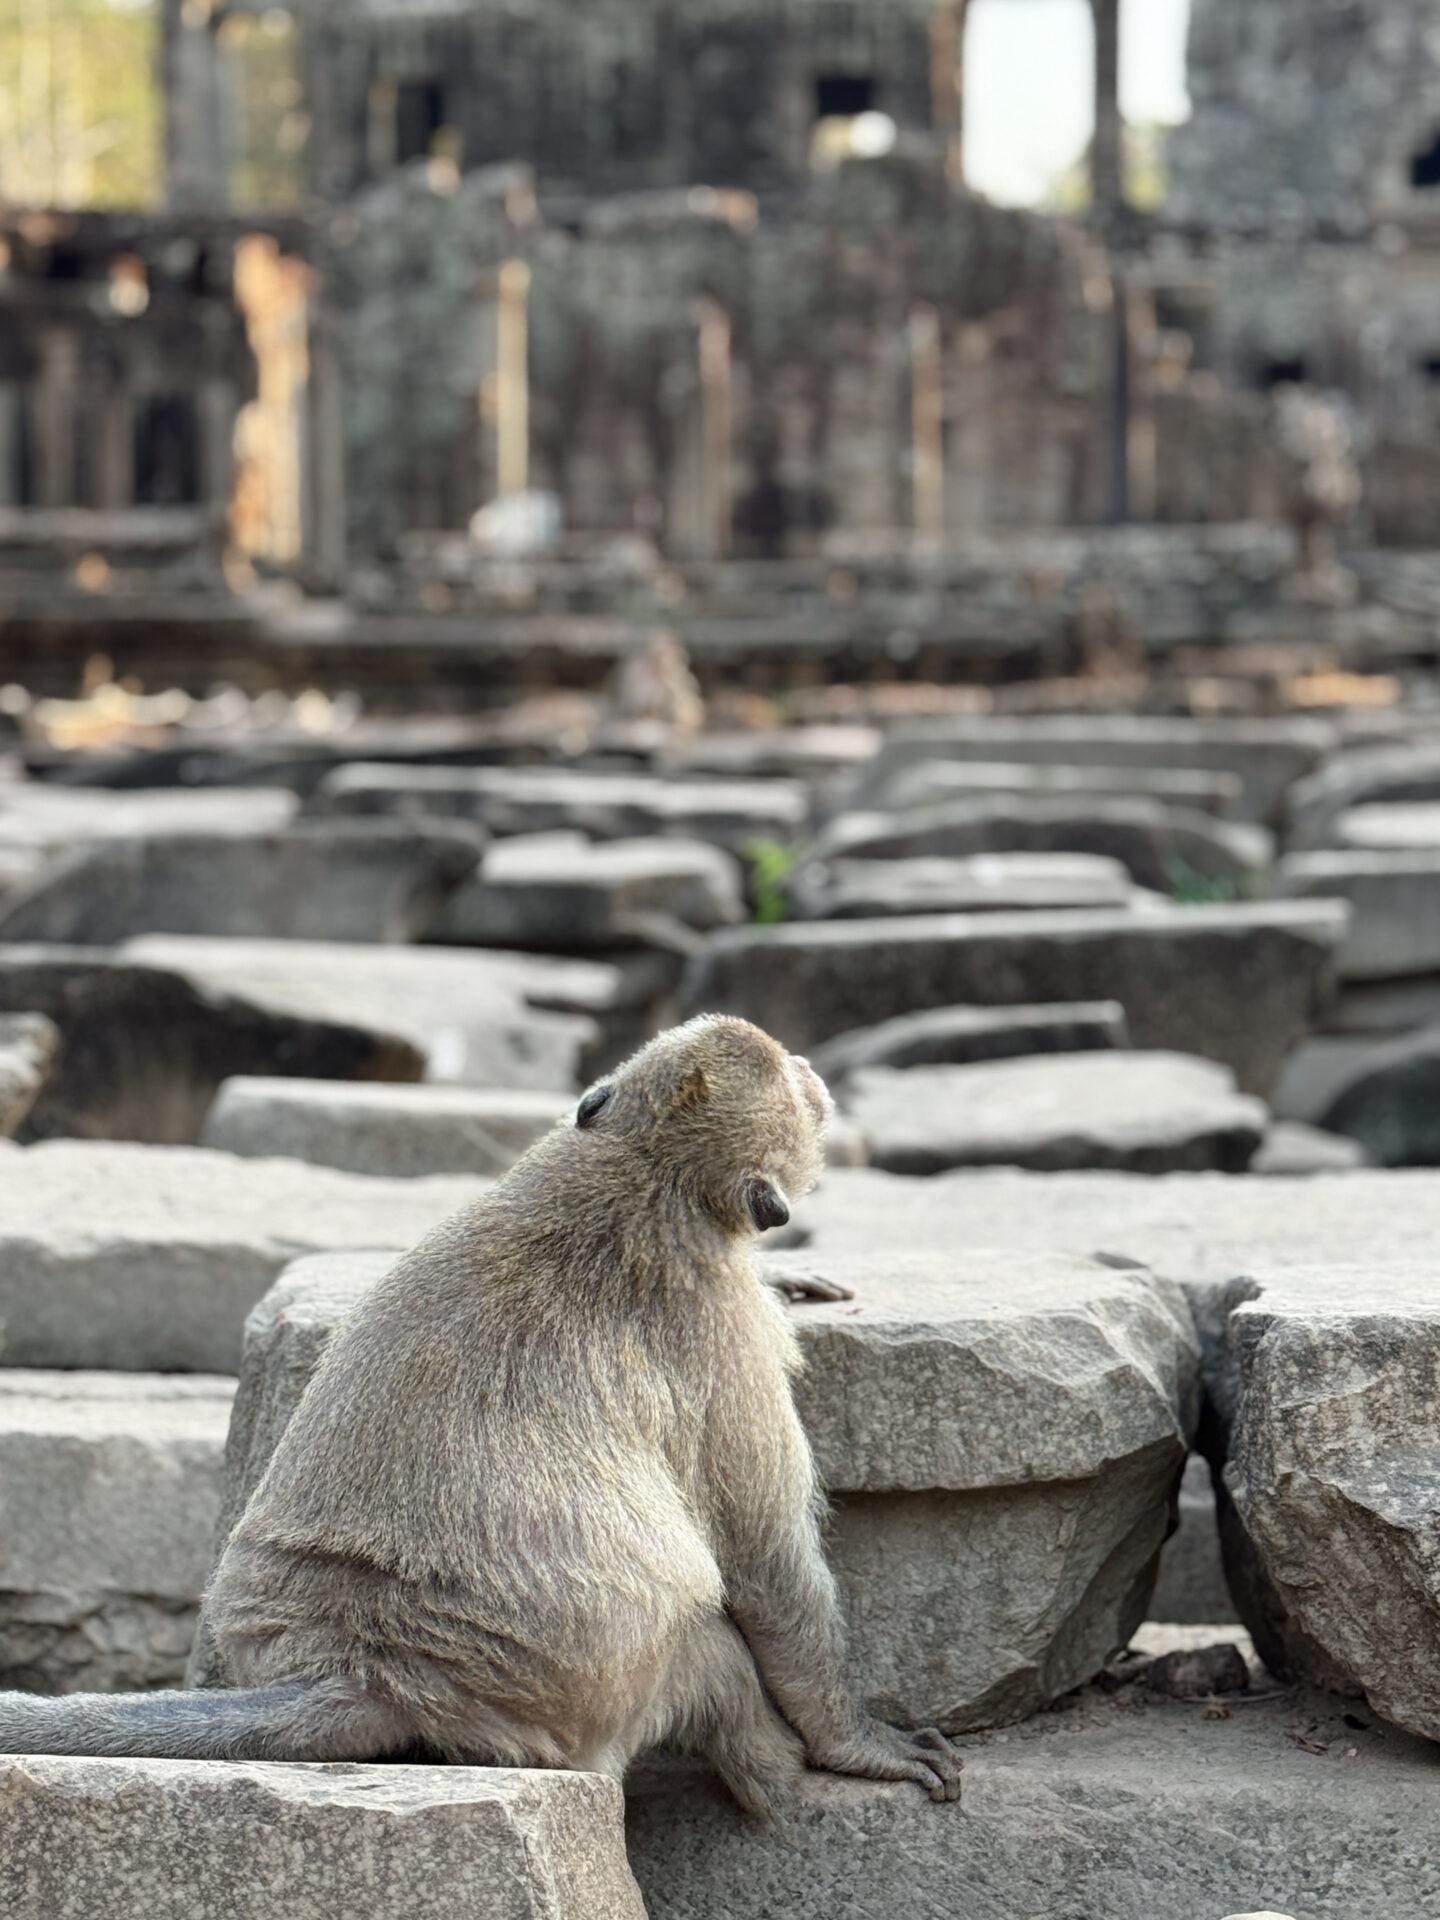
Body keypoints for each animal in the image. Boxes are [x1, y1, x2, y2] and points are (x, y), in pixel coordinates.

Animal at [0, 1015, 961, 1814]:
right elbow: (765, 1562)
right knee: (709, 1647)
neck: (639, 1166)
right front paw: (851, 1741)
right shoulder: (723, 1340)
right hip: (585, 1700)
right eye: (796, 1078)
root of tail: (373, 1668)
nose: (812, 1068)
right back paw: (774, 1776)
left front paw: (788, 1275)